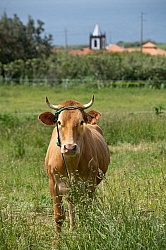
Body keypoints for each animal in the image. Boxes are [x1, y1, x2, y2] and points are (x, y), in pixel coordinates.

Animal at [38, 95, 109, 242]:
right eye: (59, 122)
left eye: (81, 122)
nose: (70, 147)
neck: (71, 165)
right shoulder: (53, 185)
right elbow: (59, 216)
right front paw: (56, 242)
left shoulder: (89, 183)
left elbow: (87, 211)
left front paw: (88, 233)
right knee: (71, 205)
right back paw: (72, 228)